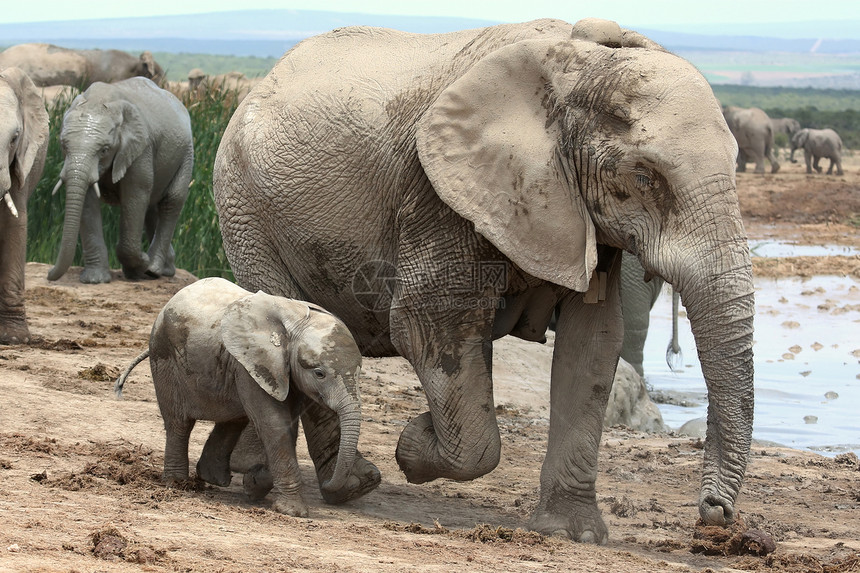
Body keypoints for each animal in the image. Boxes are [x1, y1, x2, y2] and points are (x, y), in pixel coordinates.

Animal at [114, 274, 380, 516]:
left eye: (359, 372)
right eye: (319, 373)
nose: (327, 484)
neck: (295, 324)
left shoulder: (284, 373)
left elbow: (285, 425)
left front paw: (253, 485)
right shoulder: (251, 364)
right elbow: (274, 425)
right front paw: (292, 511)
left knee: (233, 419)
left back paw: (213, 478)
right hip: (164, 356)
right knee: (179, 423)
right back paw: (178, 484)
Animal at [213, 17, 752, 544]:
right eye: (644, 176)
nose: (715, 514)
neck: (584, 65)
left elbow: (594, 344)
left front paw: (572, 533)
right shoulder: (437, 193)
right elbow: (432, 323)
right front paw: (415, 444)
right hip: (245, 210)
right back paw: (346, 484)